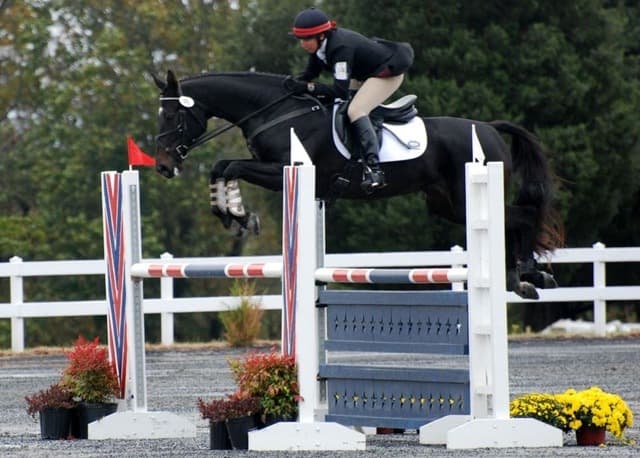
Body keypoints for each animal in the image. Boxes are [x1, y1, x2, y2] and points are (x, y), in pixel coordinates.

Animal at [152, 70, 564, 299]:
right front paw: (233, 215)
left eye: (171, 114)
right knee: (512, 221)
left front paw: (237, 215)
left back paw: (526, 275)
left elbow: (229, 164)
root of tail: (490, 128)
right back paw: (526, 276)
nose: (162, 166)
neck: (278, 111)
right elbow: (221, 166)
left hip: (465, 200)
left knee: (522, 217)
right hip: (445, 204)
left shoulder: (283, 170)